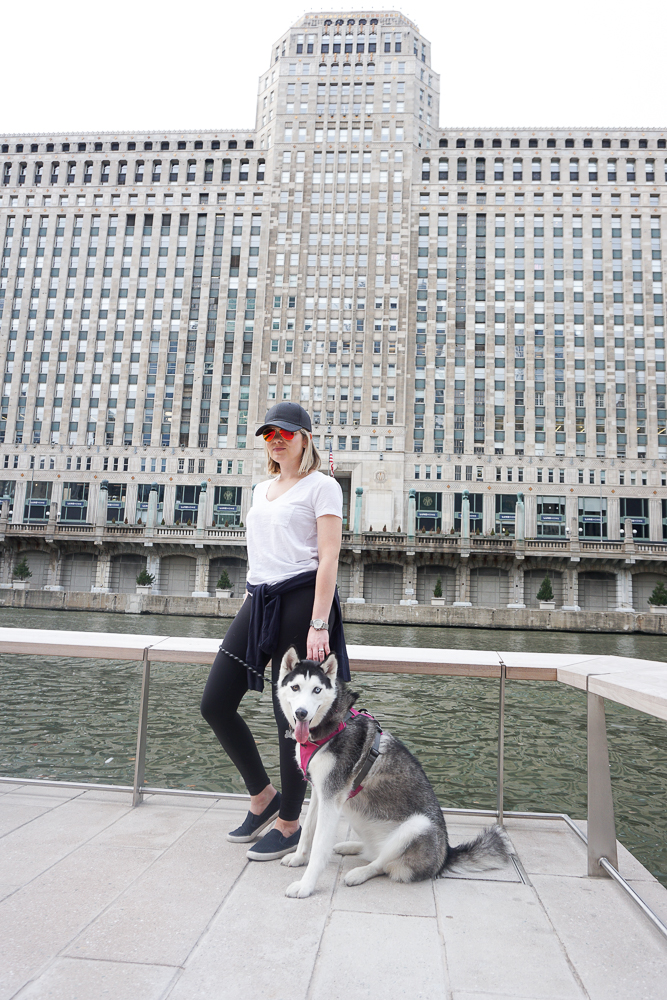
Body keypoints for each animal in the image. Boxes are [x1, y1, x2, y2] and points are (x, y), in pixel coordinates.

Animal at [276, 648, 512, 900]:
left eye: (317, 690)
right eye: (295, 687)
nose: (301, 713)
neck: (331, 726)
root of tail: (446, 855)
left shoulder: (331, 797)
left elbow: (320, 846)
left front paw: (306, 885)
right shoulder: (320, 791)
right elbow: (307, 831)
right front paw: (299, 858)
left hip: (418, 826)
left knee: (382, 864)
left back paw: (359, 873)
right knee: (375, 852)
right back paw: (350, 846)